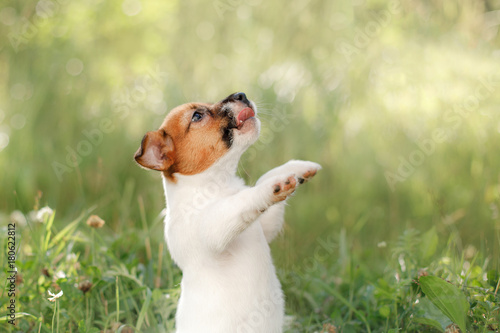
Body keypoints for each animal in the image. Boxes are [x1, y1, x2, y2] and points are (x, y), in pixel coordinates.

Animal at [133, 92, 320, 330]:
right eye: (197, 116)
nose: (240, 94)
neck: (218, 186)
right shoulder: (214, 227)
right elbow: (244, 200)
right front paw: (275, 186)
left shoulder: (265, 226)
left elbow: (263, 178)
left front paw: (297, 168)